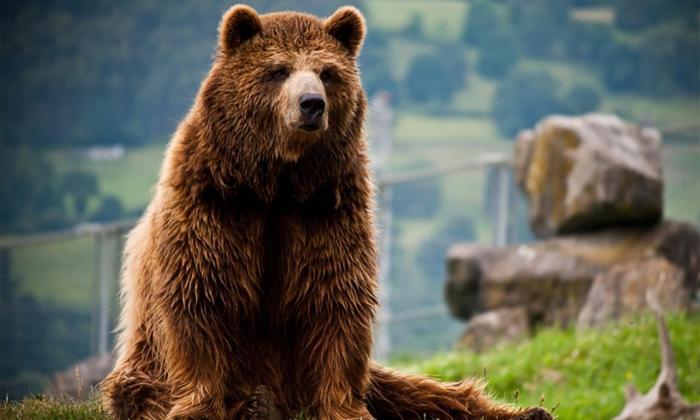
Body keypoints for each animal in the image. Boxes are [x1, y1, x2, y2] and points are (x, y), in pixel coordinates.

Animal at [101, 4, 552, 420]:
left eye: (327, 72)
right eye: (278, 70)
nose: (311, 104)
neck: (276, 180)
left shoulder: (326, 207)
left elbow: (334, 299)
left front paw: (342, 408)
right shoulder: (217, 202)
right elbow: (202, 293)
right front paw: (200, 405)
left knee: (422, 392)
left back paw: (526, 410)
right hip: (141, 368)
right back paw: (256, 404)